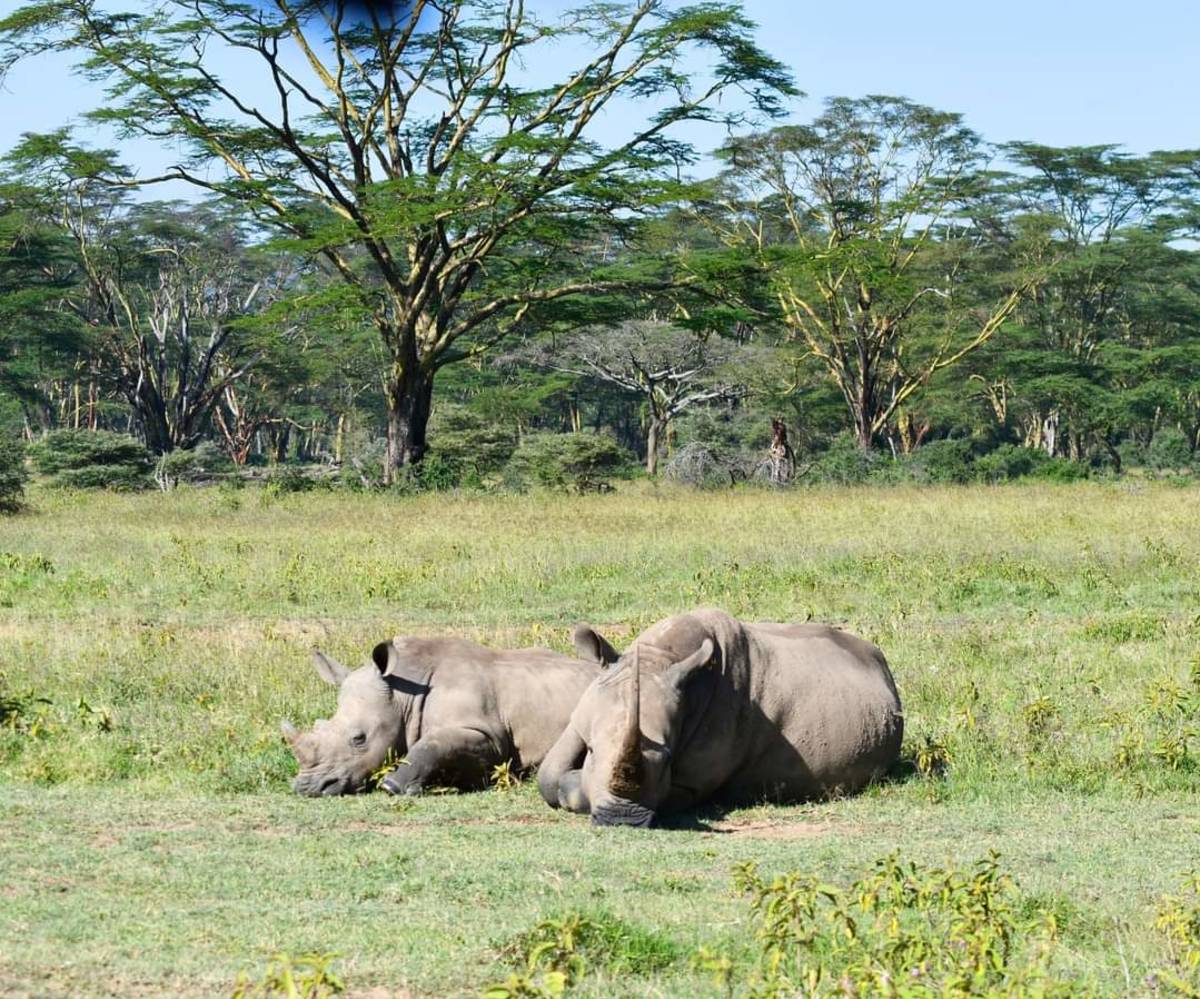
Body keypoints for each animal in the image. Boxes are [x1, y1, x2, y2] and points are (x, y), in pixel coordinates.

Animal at [282, 636, 600, 796]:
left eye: (359, 738)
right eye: (319, 724)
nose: (307, 788)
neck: (403, 694)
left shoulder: (487, 735)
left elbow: (434, 743)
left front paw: (393, 785)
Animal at [537, 608, 903, 827]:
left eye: (668, 760)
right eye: (592, 749)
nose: (621, 819)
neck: (659, 658)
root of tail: (879, 660)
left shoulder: (691, 782)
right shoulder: (582, 713)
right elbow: (548, 777)